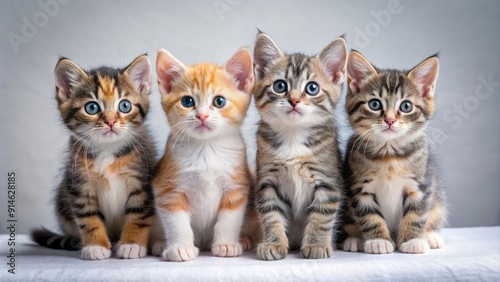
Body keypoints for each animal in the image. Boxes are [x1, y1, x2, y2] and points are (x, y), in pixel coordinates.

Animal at [31, 54, 156, 260]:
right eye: (91, 107)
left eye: (125, 105)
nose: (111, 121)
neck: (108, 151)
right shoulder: (79, 184)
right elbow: (87, 217)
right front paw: (95, 246)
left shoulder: (142, 180)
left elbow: (139, 213)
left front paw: (132, 244)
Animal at [152, 47, 254, 262]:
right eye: (187, 101)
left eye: (219, 101)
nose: (202, 115)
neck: (206, 148)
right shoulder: (167, 187)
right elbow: (176, 221)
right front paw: (180, 248)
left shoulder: (237, 186)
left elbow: (230, 218)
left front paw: (226, 244)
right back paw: (159, 244)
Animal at [254, 31, 348, 260]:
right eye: (280, 86)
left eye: (312, 88)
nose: (294, 100)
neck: (293, 136)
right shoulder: (267, 181)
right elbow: (270, 213)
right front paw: (273, 243)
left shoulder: (328, 181)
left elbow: (322, 215)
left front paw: (316, 245)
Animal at [342, 51, 448, 256]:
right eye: (375, 104)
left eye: (406, 106)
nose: (390, 120)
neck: (389, 156)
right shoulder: (359, 187)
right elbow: (369, 216)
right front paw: (378, 241)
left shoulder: (421, 185)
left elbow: (417, 213)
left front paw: (412, 241)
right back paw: (355, 239)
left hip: (438, 199)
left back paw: (431, 236)